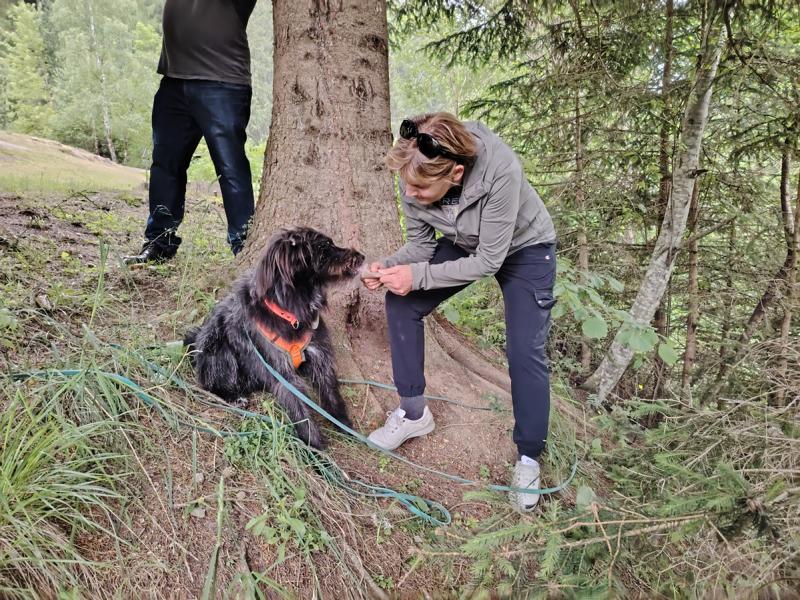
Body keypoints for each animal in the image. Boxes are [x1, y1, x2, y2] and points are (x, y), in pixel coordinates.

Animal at [184, 227, 364, 448]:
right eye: (324, 247)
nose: (361, 256)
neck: (291, 313)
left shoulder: (319, 356)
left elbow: (331, 393)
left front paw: (344, 425)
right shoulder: (282, 373)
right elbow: (300, 410)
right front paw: (315, 448)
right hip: (219, 351)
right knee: (210, 384)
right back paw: (233, 397)